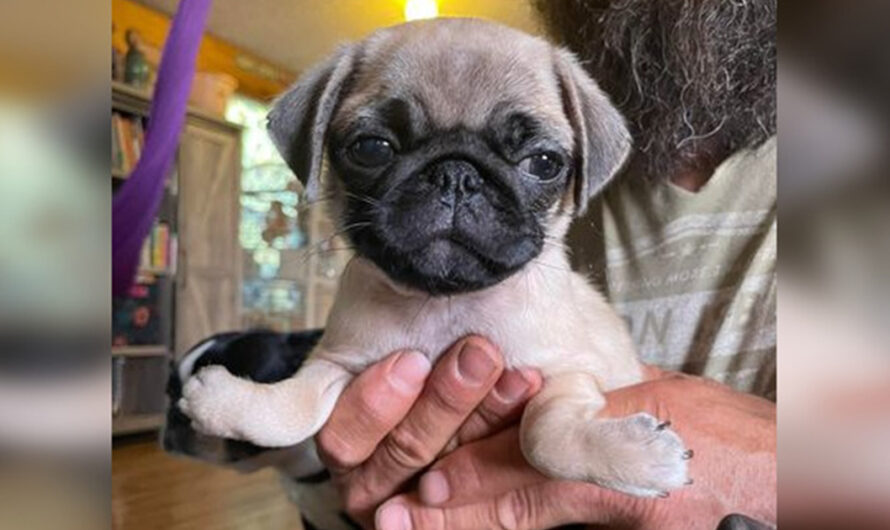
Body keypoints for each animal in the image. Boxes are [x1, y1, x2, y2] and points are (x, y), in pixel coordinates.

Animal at [177, 17, 692, 496]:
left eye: (543, 163)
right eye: (372, 148)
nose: (456, 175)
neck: (444, 303)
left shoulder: (569, 373)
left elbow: (544, 439)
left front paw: (642, 460)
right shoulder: (339, 363)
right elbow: (293, 409)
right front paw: (227, 402)